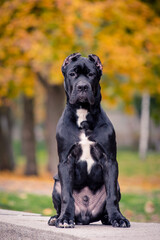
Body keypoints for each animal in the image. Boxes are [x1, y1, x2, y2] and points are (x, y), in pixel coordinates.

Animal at [48, 53, 131, 229]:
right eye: (72, 73)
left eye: (91, 74)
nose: (82, 87)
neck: (83, 115)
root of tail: (85, 218)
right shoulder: (65, 161)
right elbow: (67, 195)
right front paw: (65, 219)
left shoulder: (109, 160)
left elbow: (112, 197)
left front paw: (118, 218)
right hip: (56, 182)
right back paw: (56, 217)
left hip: (117, 184)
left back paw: (108, 218)